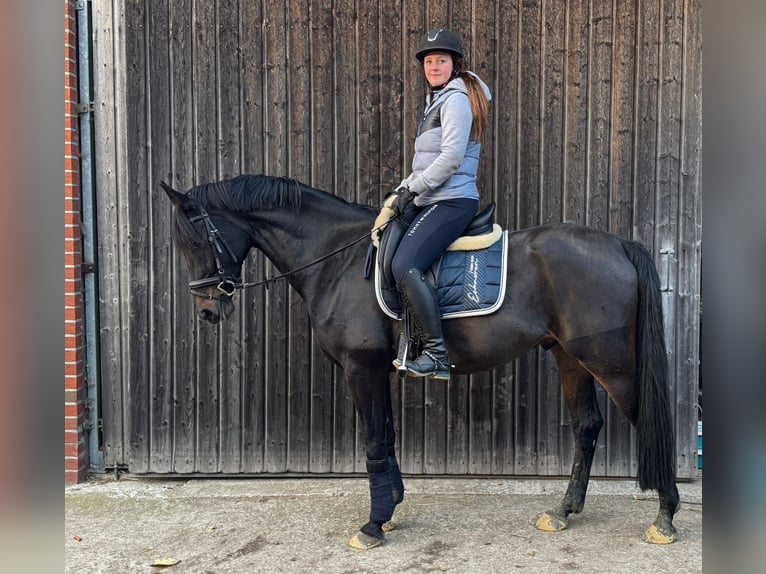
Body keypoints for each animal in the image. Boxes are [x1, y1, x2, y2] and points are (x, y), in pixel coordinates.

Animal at [164, 174, 684, 548]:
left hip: (609, 362)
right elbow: (387, 437)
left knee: (649, 421)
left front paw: (373, 526)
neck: (337, 261)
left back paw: (665, 518)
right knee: (587, 426)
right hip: (570, 357)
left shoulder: (361, 368)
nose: (208, 312)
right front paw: (391, 508)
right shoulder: (378, 371)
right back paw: (563, 511)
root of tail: (618, 244)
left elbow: (374, 442)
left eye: (196, 241)